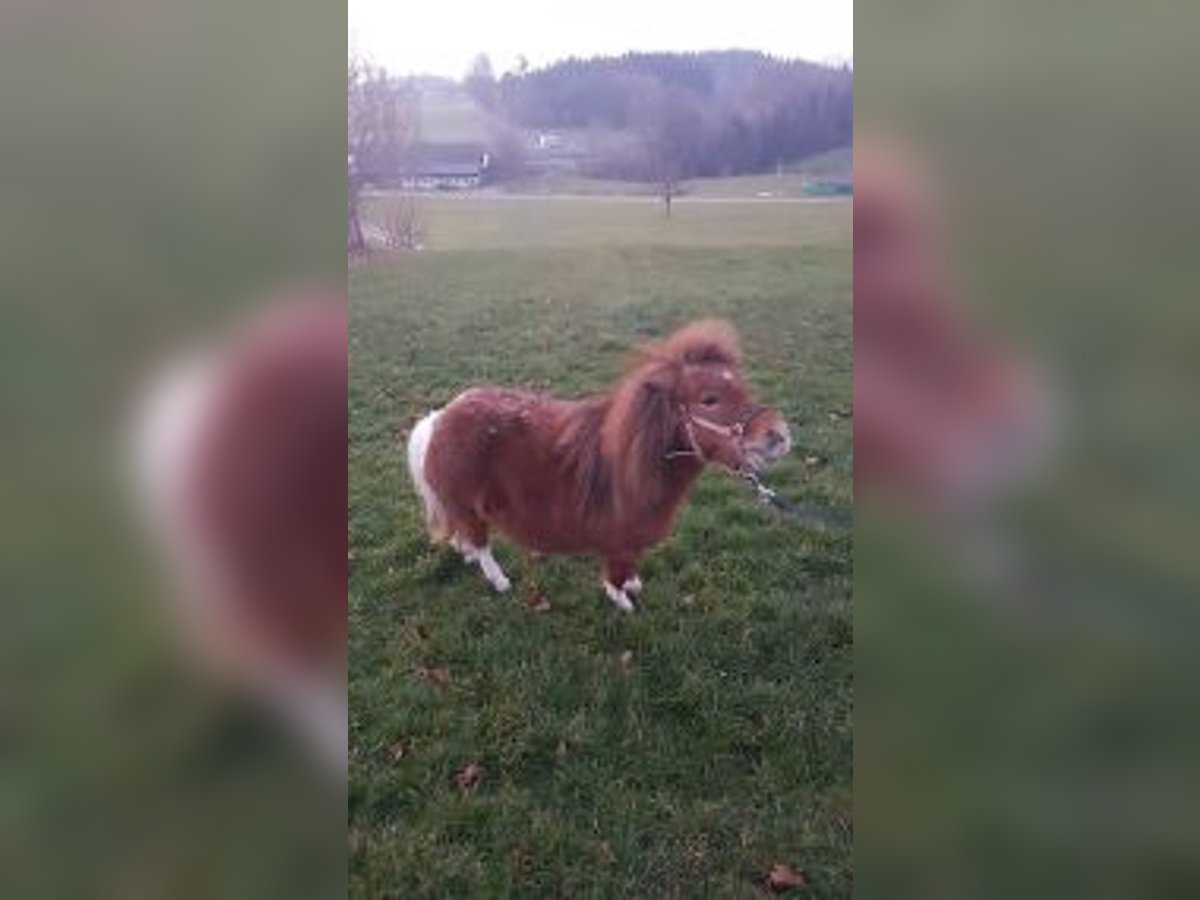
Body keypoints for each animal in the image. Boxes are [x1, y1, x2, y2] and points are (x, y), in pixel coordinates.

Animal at [406, 319, 793, 612]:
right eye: (709, 400)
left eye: (742, 387)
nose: (780, 436)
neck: (635, 467)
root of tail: (440, 419)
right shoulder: (618, 542)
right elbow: (616, 573)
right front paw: (622, 600)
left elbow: (630, 567)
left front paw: (633, 585)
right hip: (467, 505)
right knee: (480, 543)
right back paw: (499, 581)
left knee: (466, 537)